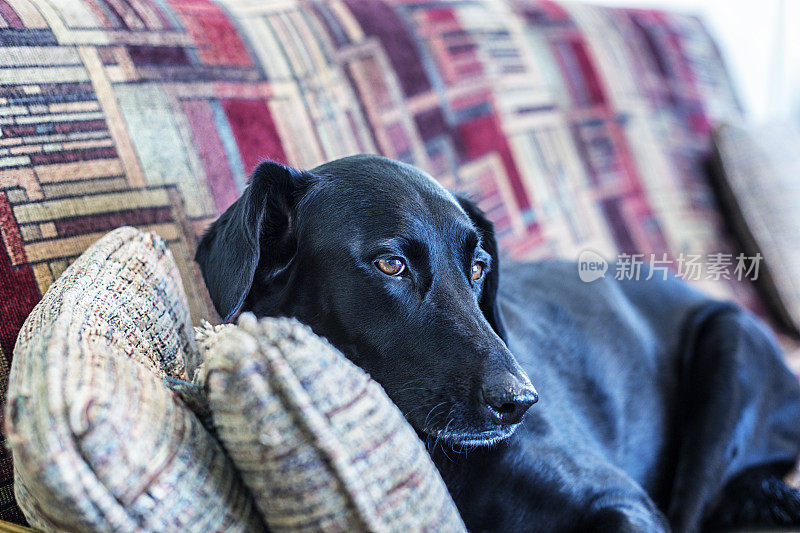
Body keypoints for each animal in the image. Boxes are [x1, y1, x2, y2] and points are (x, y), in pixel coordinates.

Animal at [195, 155, 800, 532]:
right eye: (391, 264)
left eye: (479, 267)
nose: (521, 403)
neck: (450, 465)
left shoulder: (623, 500)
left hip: (733, 343)